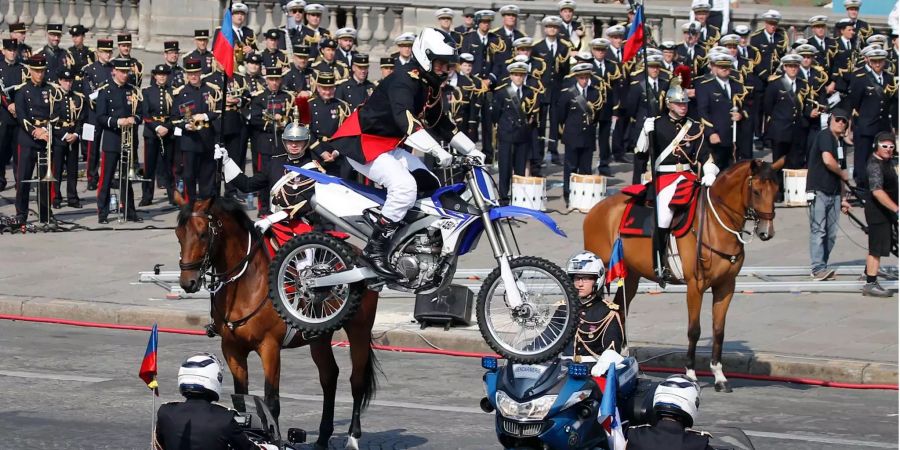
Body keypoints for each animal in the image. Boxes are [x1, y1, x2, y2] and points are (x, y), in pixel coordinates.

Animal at [174, 196, 378, 450]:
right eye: (178, 234)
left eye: (202, 234)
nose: (188, 282)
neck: (245, 282)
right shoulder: (232, 349)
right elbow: (240, 399)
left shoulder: (269, 347)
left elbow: (272, 402)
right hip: (319, 338)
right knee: (329, 376)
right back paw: (322, 438)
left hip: (359, 329)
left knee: (356, 381)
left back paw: (352, 437)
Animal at [584, 160, 780, 392]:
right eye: (757, 191)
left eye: (777, 191)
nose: (767, 232)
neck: (715, 223)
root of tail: (597, 208)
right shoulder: (695, 286)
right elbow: (694, 330)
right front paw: (691, 374)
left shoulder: (726, 286)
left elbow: (719, 330)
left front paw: (719, 376)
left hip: (631, 274)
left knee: (621, 310)